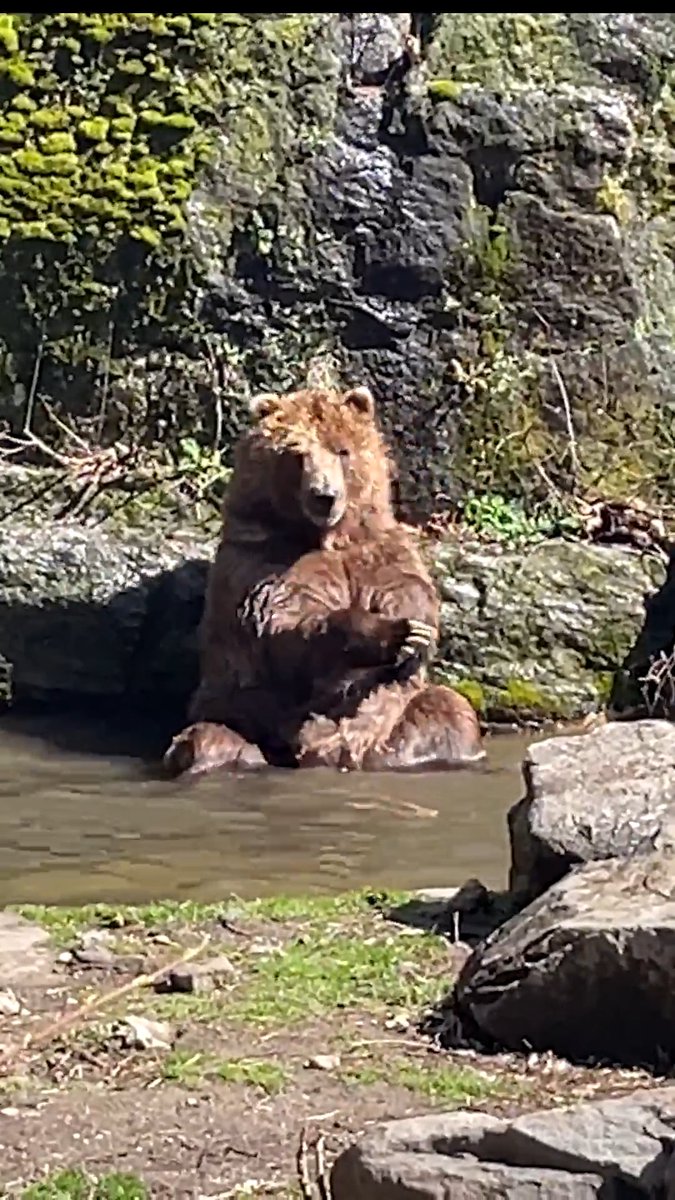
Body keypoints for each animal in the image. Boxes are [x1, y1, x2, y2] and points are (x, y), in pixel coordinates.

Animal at [163, 383, 484, 776]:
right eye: (297, 454)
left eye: (342, 450)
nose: (324, 496)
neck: (326, 536)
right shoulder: (262, 561)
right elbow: (284, 626)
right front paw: (389, 633)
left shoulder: (377, 551)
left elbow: (411, 589)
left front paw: (416, 635)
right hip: (242, 712)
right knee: (208, 739)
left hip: (394, 716)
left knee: (449, 714)